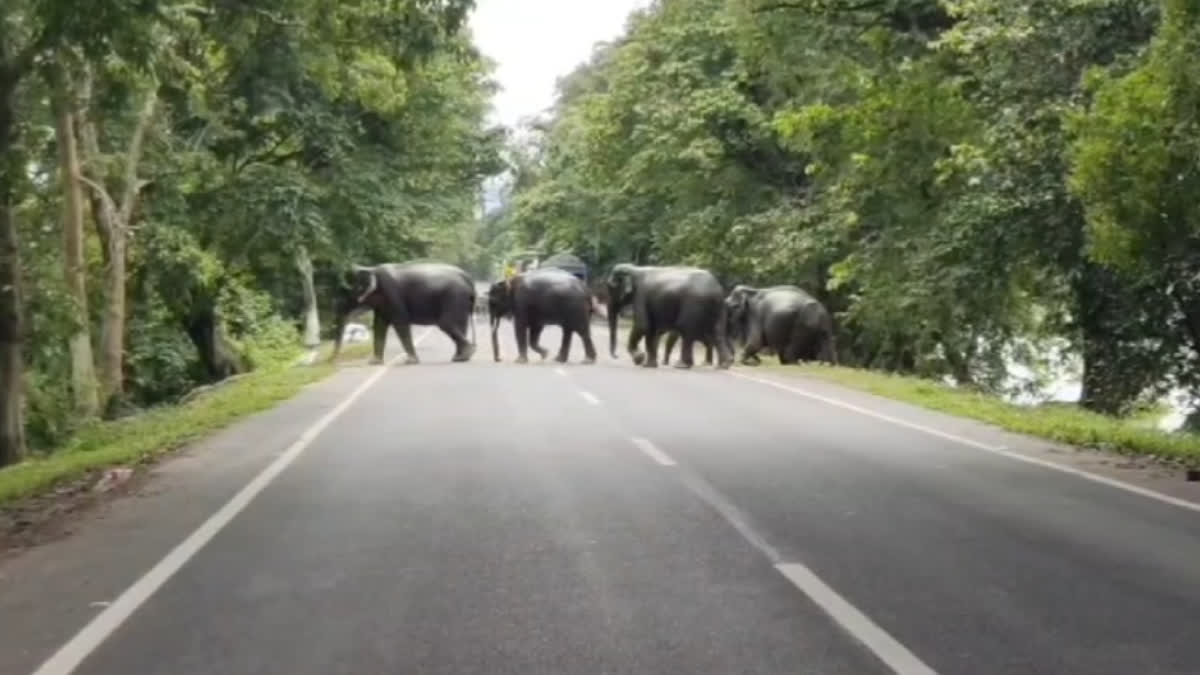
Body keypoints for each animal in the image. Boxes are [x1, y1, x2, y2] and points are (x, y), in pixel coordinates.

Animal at [333, 260, 477, 362]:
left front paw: (411, 361)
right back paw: (460, 357)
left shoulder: (392, 292)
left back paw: (465, 354)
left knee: (445, 323)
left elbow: (400, 322)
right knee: (460, 325)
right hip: (461, 301)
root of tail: (468, 277)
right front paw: (374, 362)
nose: (333, 361)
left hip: (454, 297)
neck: (372, 268)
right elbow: (379, 325)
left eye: (349, 291)